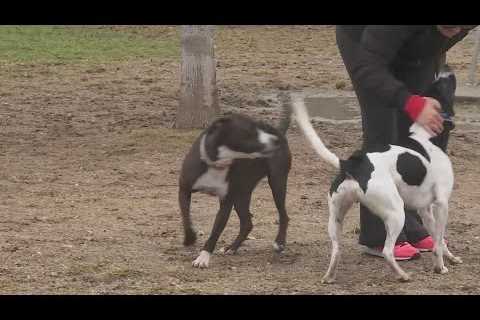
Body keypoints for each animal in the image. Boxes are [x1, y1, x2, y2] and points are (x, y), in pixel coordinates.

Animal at [179, 96, 290, 268]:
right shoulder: (184, 188)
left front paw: (203, 258)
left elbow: (215, 232)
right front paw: (190, 238)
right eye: (250, 131)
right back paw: (232, 247)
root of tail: (280, 131)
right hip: (242, 194)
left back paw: (279, 243)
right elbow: (186, 217)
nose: (275, 140)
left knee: (283, 215)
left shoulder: (226, 202)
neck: (217, 163)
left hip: (277, 183)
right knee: (247, 223)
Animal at [292, 70, 462, 282]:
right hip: (396, 213)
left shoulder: (425, 210)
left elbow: (439, 240)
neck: (424, 135)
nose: (449, 71)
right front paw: (440, 267)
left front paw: (451, 258)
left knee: (336, 250)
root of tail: (352, 164)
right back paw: (402, 275)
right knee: (387, 251)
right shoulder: (442, 204)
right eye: (444, 85)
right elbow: (438, 241)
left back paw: (329, 277)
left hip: (335, 218)